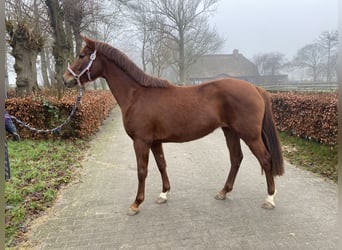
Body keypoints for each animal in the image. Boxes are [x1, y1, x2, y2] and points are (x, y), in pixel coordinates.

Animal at [63, 36, 284, 215]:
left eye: (82, 55)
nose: (66, 79)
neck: (137, 95)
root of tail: (255, 88)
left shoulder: (141, 141)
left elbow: (142, 171)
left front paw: (136, 204)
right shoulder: (155, 141)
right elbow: (161, 164)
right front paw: (163, 194)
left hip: (250, 135)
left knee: (265, 159)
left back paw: (269, 199)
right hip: (230, 131)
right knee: (236, 158)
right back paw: (223, 192)